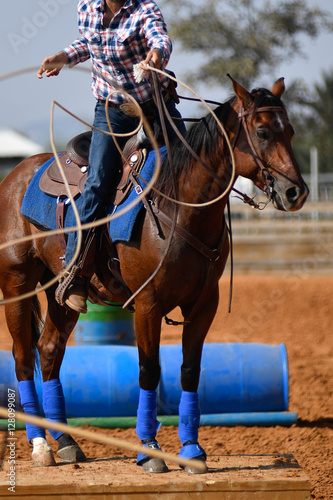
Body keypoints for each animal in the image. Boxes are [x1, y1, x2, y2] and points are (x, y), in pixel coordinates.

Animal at [0, 77, 308, 472]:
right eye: (263, 131)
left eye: (291, 131)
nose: (296, 192)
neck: (179, 206)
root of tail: (16, 175)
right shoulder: (148, 304)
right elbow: (148, 370)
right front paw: (148, 449)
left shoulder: (203, 305)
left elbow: (189, 371)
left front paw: (192, 450)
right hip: (17, 286)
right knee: (23, 357)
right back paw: (40, 445)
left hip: (64, 297)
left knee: (49, 350)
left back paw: (67, 442)